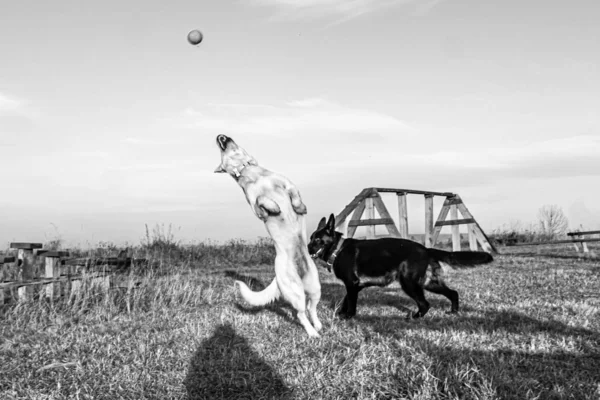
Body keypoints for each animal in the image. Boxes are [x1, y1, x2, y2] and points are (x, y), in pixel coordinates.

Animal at [214, 134, 324, 338]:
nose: (219, 136)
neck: (250, 172)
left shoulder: (287, 183)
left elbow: (294, 195)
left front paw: (299, 207)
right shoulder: (254, 206)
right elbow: (261, 201)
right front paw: (274, 208)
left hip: (315, 288)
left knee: (311, 308)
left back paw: (318, 325)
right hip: (296, 292)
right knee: (301, 314)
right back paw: (312, 333)